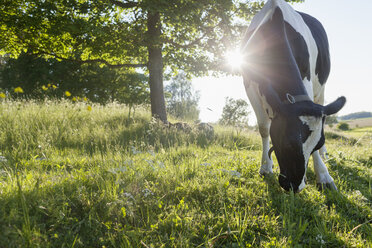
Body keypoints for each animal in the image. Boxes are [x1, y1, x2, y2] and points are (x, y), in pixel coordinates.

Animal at [241, 0, 346, 193]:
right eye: (289, 143)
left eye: (317, 144)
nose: (295, 186)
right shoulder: (249, 84)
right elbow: (264, 128)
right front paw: (266, 167)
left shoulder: (308, 80)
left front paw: (323, 175)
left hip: (321, 88)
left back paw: (324, 155)